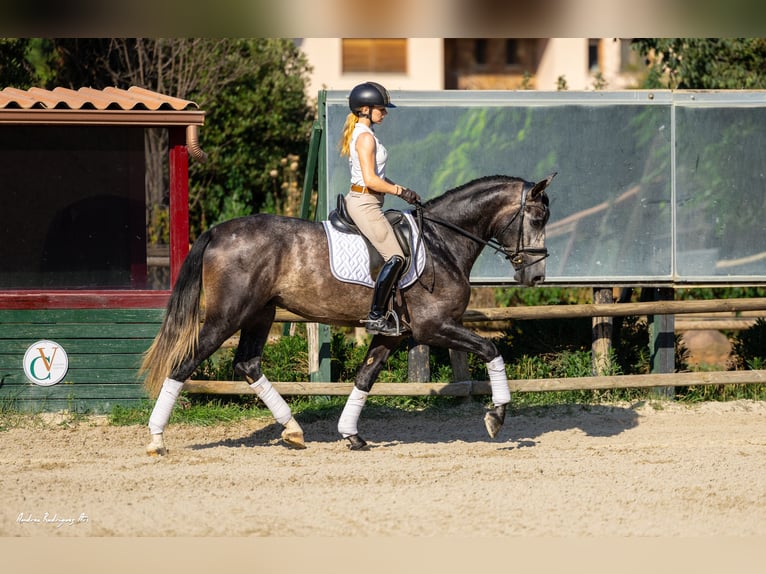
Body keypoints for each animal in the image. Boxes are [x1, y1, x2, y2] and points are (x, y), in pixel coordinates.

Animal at [141, 173, 556, 456]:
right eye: (537, 218)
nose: (536, 276)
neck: (442, 242)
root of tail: (217, 232)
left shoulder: (394, 333)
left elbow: (365, 377)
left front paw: (350, 434)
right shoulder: (434, 327)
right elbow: (491, 350)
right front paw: (496, 417)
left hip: (260, 314)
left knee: (247, 363)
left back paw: (293, 430)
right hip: (226, 317)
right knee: (184, 364)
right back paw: (157, 439)